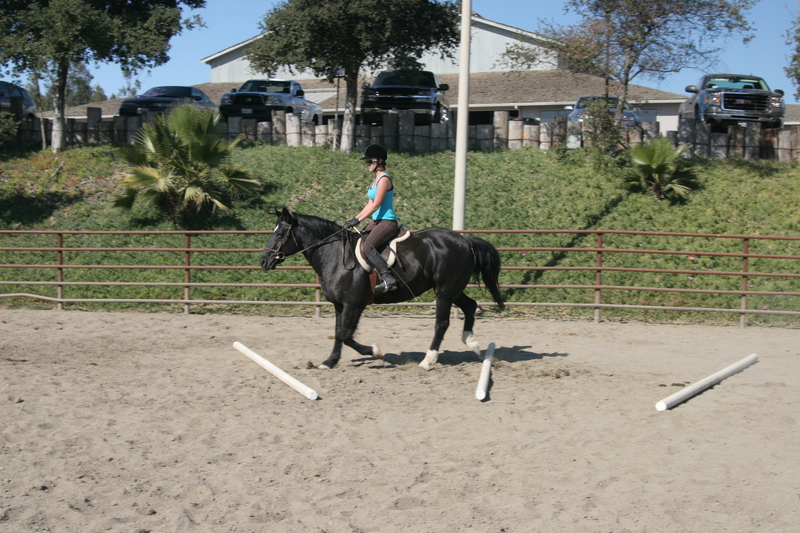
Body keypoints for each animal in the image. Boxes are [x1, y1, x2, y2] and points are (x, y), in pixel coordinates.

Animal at [260, 208, 505, 370]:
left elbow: (346, 335)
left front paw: (374, 351)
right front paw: (330, 361)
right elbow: (338, 333)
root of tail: (463, 240)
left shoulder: (353, 304)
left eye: (280, 234)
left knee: (442, 324)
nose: (263, 260)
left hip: (444, 292)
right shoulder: (340, 305)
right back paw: (473, 344)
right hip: (453, 289)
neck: (335, 256)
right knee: (470, 306)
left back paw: (428, 360)